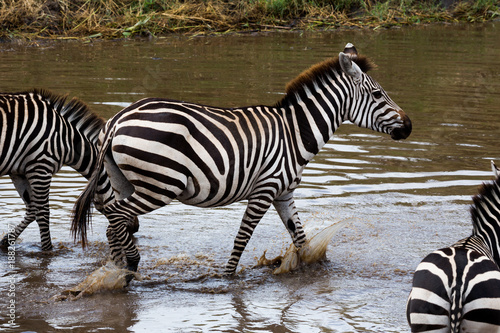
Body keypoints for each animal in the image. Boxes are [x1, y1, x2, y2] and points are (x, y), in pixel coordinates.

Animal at [0, 89, 116, 250]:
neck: (67, 141)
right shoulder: (41, 167)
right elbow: (42, 213)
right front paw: (48, 250)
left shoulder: (19, 172)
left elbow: (31, 209)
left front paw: (7, 240)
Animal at [72, 42, 412, 274]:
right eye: (378, 95)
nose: (409, 126)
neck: (294, 132)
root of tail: (118, 119)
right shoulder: (264, 190)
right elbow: (242, 238)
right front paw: (227, 277)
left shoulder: (284, 193)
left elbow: (301, 239)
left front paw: (315, 270)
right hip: (160, 184)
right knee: (115, 218)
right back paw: (127, 266)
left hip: (124, 181)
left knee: (114, 219)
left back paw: (119, 270)